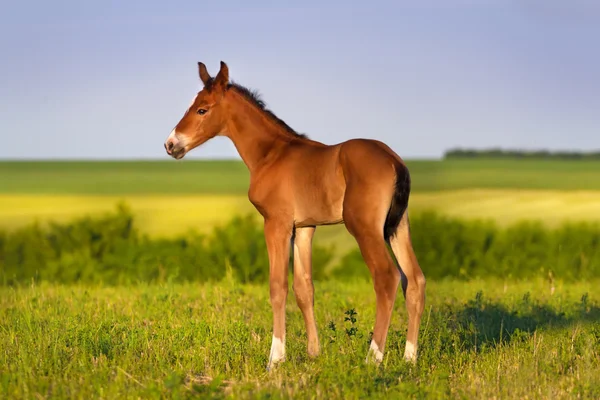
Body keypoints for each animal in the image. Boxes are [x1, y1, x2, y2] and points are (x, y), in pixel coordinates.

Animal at [164, 61, 426, 370]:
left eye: (202, 109)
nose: (170, 144)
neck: (271, 154)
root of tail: (395, 161)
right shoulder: (304, 227)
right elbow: (304, 289)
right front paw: (314, 353)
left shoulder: (276, 223)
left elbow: (278, 287)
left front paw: (275, 359)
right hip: (398, 226)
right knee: (415, 280)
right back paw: (410, 358)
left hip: (364, 227)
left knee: (387, 277)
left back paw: (372, 358)